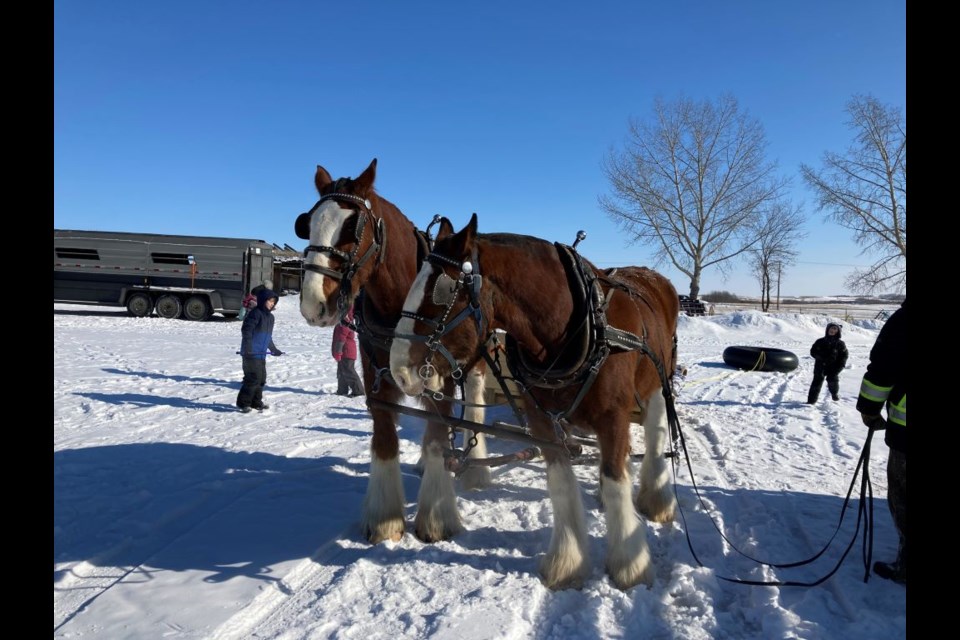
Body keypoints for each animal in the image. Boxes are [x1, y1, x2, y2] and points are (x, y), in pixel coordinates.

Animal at [296, 160, 492, 544]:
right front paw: (385, 521)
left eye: (351, 227)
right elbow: (386, 439)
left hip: (474, 363)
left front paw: (435, 519)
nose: (313, 304)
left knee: (474, 402)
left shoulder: (442, 377)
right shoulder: (376, 376)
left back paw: (475, 470)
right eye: (307, 224)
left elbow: (438, 433)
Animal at [390, 215, 684, 592]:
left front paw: (630, 566)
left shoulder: (613, 418)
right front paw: (567, 565)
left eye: (441, 293)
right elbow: (560, 482)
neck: (576, 329)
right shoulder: (542, 420)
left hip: (658, 383)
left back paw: (656, 499)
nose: (399, 371)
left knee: (655, 434)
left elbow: (617, 480)